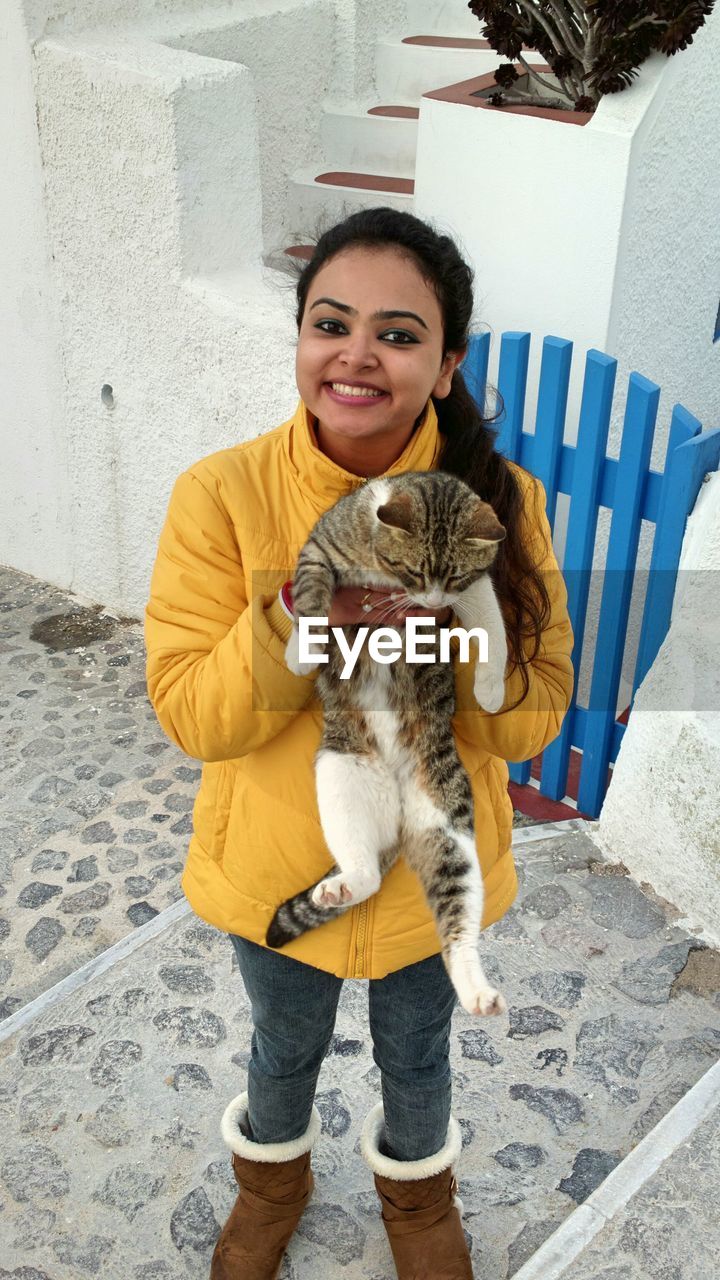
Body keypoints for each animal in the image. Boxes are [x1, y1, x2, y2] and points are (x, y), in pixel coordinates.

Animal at [266, 471, 507, 1018]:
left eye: (453, 578)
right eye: (413, 570)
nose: (434, 605)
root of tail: (399, 807)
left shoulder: (477, 586)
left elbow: (492, 626)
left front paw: (491, 687)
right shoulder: (320, 549)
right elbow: (310, 592)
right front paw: (302, 646)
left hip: (446, 825)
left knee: (457, 917)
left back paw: (478, 993)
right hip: (342, 774)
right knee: (367, 872)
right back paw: (340, 887)